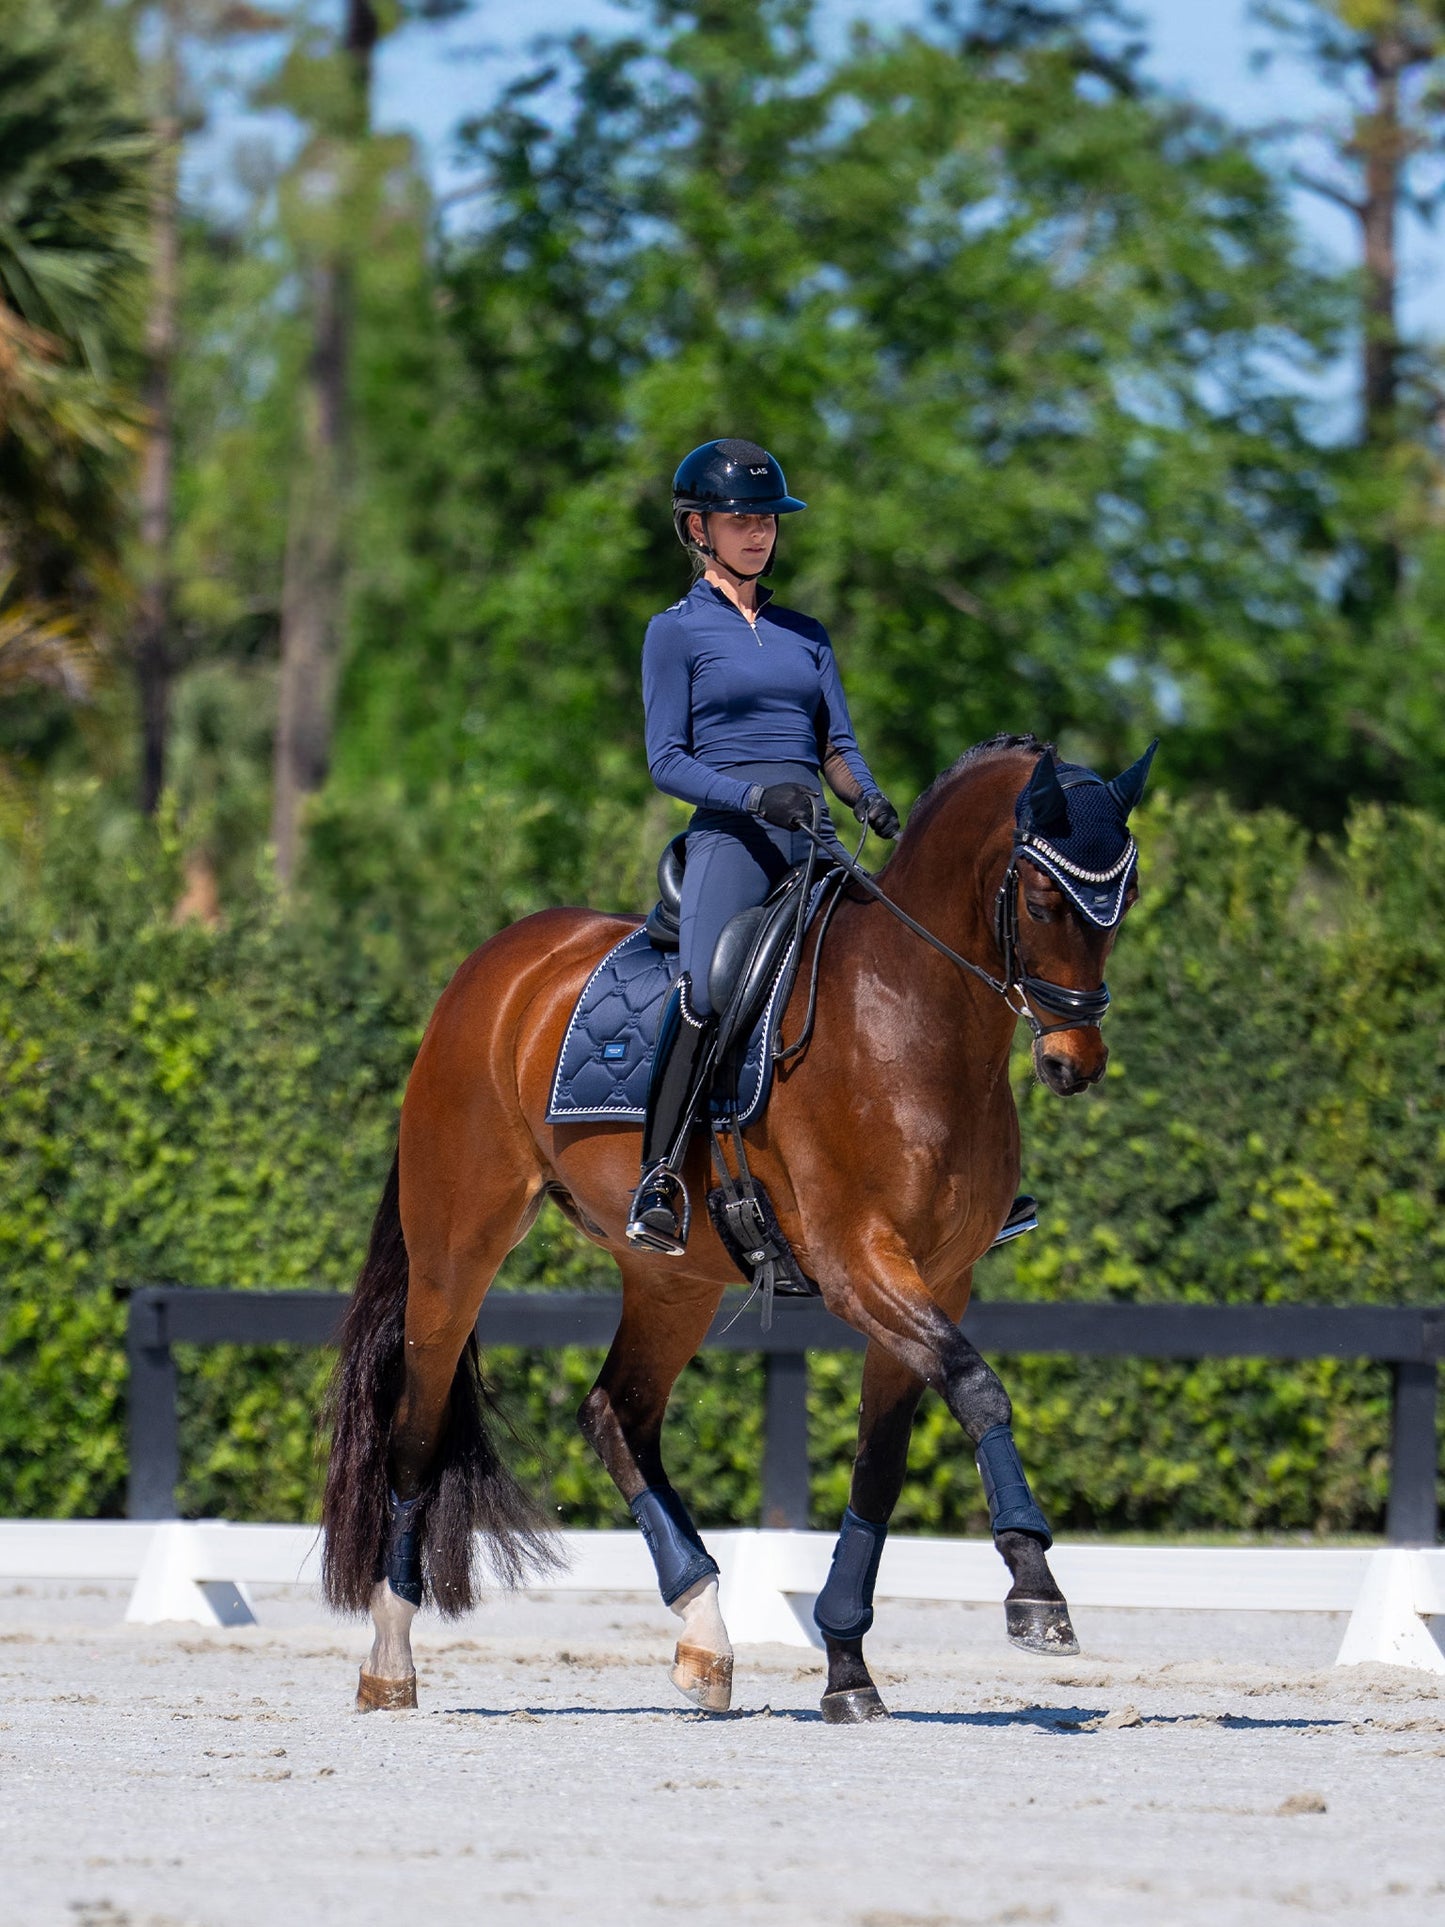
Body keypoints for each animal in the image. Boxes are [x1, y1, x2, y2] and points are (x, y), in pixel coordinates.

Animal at [321, 731, 1152, 1721]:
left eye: (1124, 902)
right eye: (1039, 898)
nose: (1075, 1062)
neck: (910, 1015)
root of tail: (492, 969)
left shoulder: (939, 1278)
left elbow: (881, 1463)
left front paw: (847, 1668)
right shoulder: (858, 1263)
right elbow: (979, 1387)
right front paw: (1035, 1590)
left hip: (673, 1276)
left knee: (616, 1414)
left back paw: (704, 1635)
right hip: (458, 1245)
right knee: (416, 1423)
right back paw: (389, 1656)